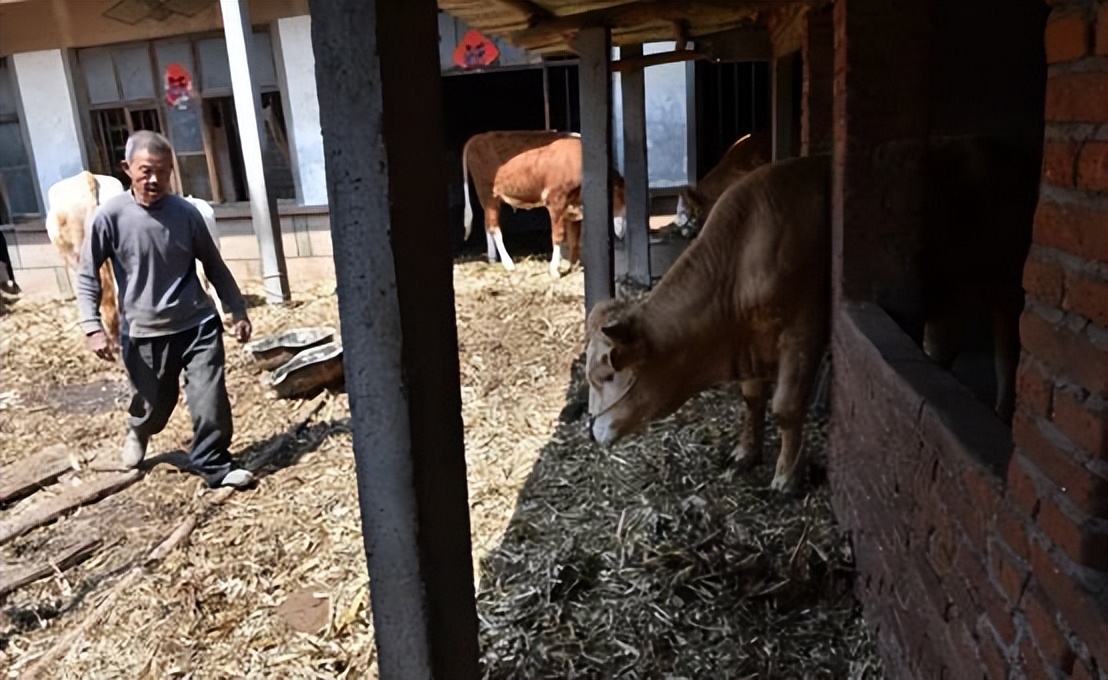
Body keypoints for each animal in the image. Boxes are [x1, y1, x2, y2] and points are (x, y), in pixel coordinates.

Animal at [460, 129, 576, 268]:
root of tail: (479, 136)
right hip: (488, 194)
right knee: (493, 227)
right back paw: (508, 262)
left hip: (487, 199)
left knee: (487, 224)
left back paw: (493, 258)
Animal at [494, 137, 624, 277]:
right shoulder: (555, 202)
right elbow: (558, 235)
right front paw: (555, 269)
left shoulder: (574, 210)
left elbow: (574, 239)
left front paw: (575, 266)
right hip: (491, 200)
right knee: (494, 229)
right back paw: (508, 263)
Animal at [585, 155, 828, 496]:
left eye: (607, 376)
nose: (593, 432)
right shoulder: (751, 341)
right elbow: (753, 397)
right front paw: (746, 452)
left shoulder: (803, 333)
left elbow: (786, 407)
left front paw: (787, 477)